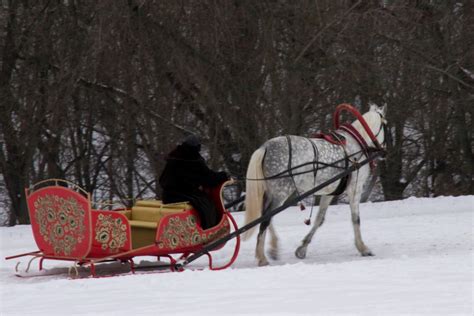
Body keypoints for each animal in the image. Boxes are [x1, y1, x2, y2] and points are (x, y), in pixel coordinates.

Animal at [243, 105, 386, 266]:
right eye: (386, 125)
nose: (384, 151)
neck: (357, 145)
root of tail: (265, 147)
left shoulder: (329, 192)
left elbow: (319, 219)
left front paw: (302, 248)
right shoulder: (355, 188)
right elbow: (356, 218)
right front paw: (363, 248)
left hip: (272, 193)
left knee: (266, 217)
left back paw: (273, 248)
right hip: (281, 192)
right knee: (266, 220)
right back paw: (262, 257)